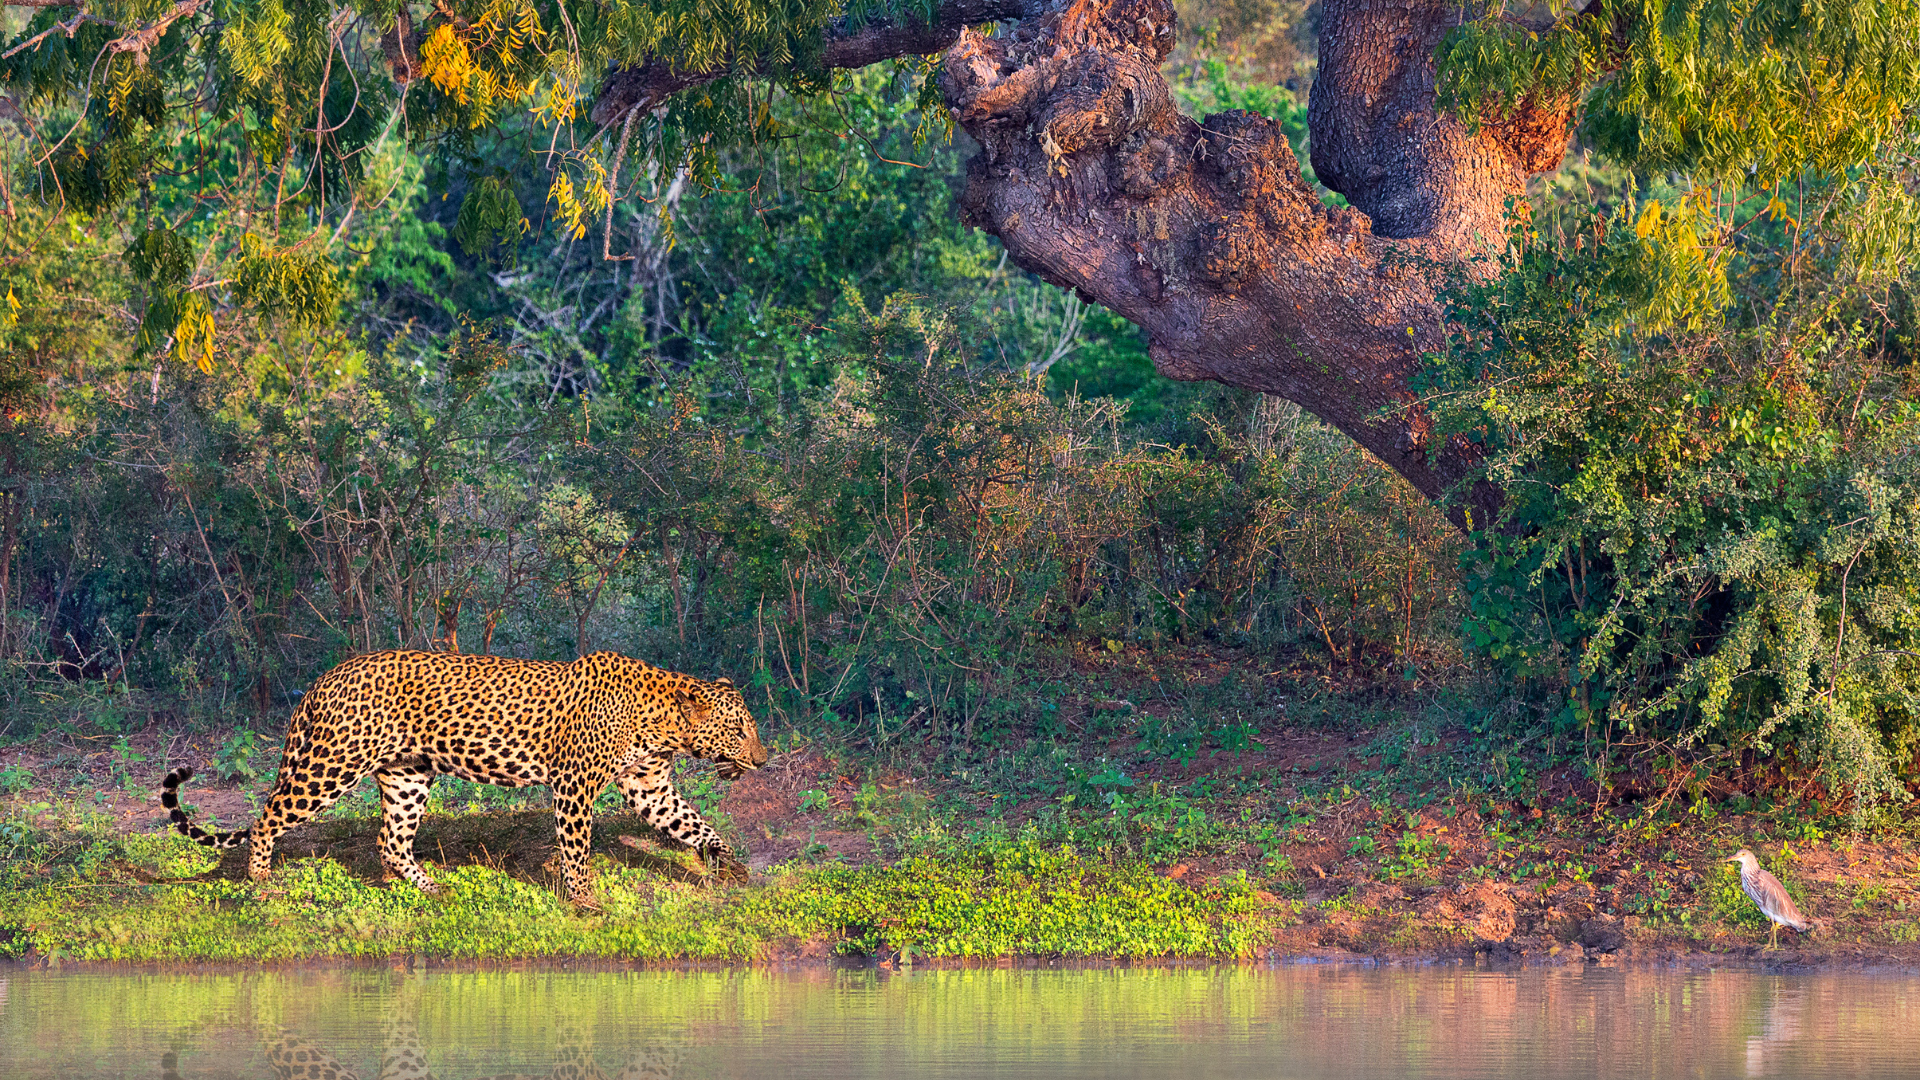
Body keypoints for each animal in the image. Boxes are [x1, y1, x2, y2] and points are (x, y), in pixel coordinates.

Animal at [161, 645, 764, 899]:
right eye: (740, 730)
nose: (762, 760)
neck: (662, 721)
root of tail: (326, 676)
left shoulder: (647, 785)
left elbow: (694, 823)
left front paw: (730, 865)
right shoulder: (574, 784)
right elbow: (576, 849)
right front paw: (584, 899)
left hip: (407, 774)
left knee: (390, 840)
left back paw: (431, 890)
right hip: (331, 765)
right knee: (268, 815)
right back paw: (262, 883)